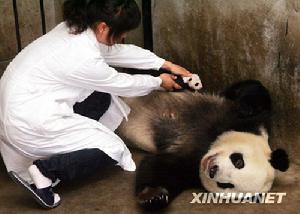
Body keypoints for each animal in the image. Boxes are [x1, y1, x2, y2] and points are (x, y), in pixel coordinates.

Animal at [118, 80, 290, 211]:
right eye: (238, 161)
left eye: (225, 184)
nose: (213, 170)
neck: (210, 142)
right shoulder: (247, 121)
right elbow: (250, 90)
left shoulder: (192, 166)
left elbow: (162, 167)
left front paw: (154, 196)